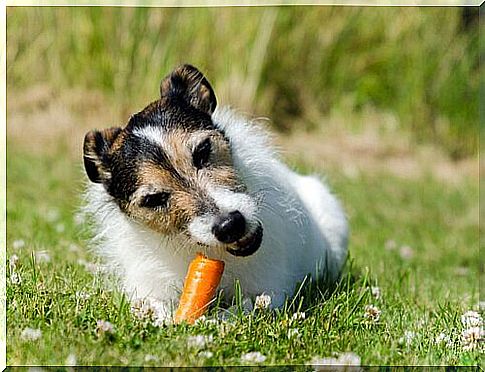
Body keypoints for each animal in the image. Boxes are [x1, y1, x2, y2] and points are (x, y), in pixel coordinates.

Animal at [83, 64, 348, 322]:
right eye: (153, 199)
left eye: (202, 150)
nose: (230, 225)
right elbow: (151, 305)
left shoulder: (271, 291)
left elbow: (244, 308)